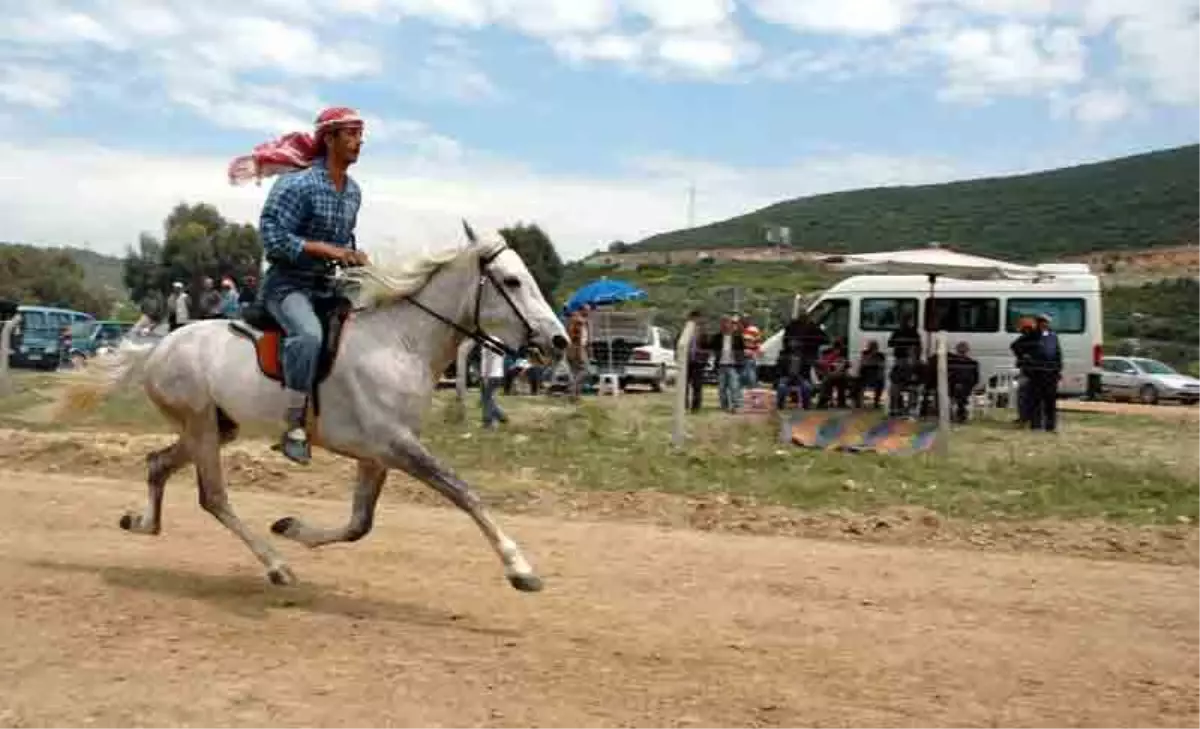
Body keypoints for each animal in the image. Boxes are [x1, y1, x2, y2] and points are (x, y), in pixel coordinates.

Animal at [72, 230, 568, 594]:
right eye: (512, 281)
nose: (559, 340)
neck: (400, 343)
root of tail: (158, 347)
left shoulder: (377, 455)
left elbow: (359, 525)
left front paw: (292, 526)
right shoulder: (397, 445)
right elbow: (464, 492)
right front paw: (519, 567)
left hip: (217, 427)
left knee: (158, 464)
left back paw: (141, 523)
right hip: (202, 428)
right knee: (213, 497)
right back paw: (276, 567)